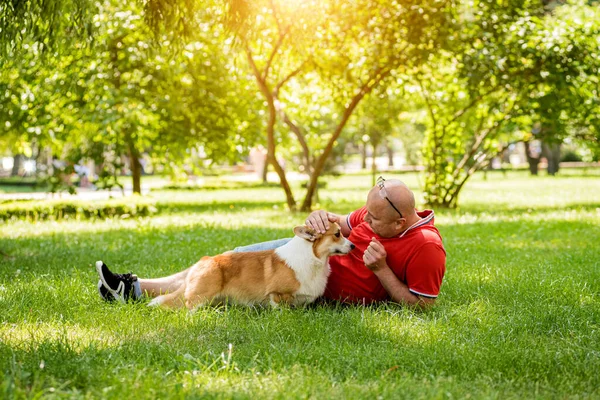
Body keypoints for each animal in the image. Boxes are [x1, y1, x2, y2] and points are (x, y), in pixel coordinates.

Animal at [148, 222, 354, 310]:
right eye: (337, 234)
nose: (353, 246)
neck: (312, 257)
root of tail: (201, 261)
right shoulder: (278, 294)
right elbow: (282, 308)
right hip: (202, 294)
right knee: (188, 306)